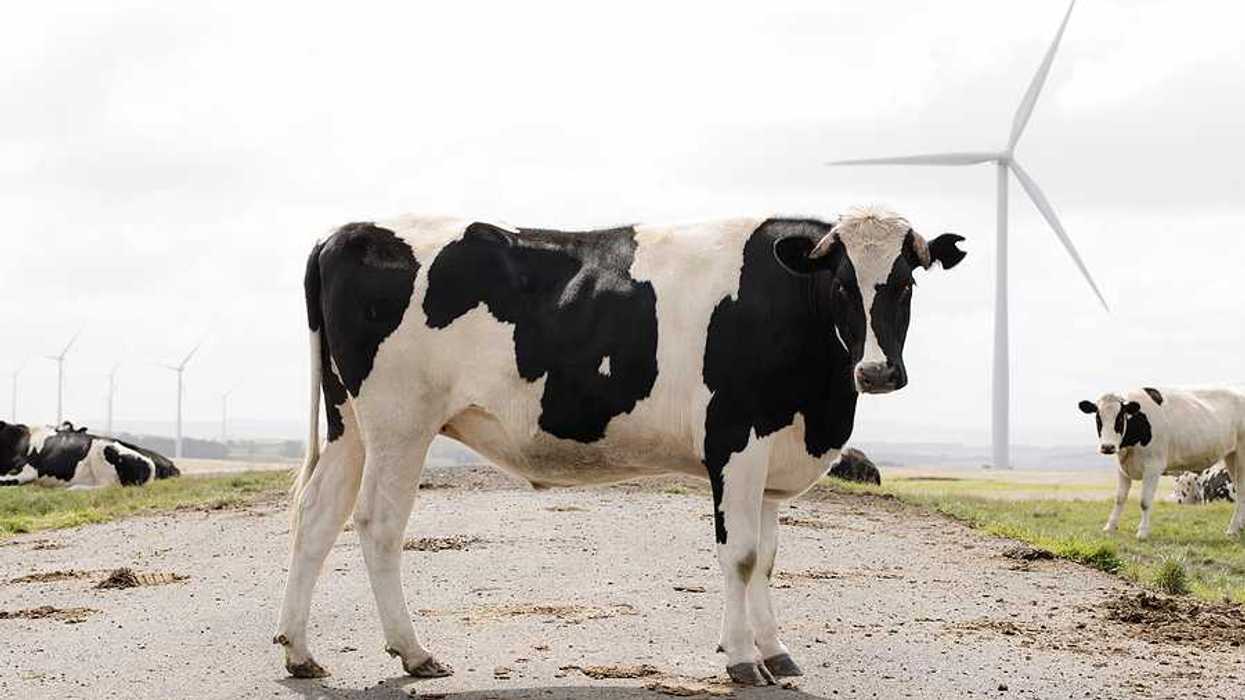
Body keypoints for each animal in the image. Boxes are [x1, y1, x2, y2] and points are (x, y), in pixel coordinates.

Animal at [276, 207, 966, 685]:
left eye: (906, 282)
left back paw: (300, 652)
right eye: (844, 283)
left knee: (317, 515)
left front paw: (776, 652)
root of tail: (344, 232)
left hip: (349, 422)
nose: (877, 372)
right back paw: (414, 652)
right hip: (400, 421)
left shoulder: (773, 451)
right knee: (378, 522)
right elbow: (741, 555)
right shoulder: (735, 440)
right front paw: (743, 661)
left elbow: (768, 558)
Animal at [1078, 387, 1245, 540]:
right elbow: (1119, 498)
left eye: (1119, 418)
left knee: (1241, 492)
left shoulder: (1153, 467)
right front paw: (1110, 527)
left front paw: (1142, 532)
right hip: (1231, 456)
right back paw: (1239, 527)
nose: (1108, 447)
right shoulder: (1122, 468)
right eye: (1098, 418)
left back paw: (1232, 529)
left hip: (1241, 456)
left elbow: (1144, 501)